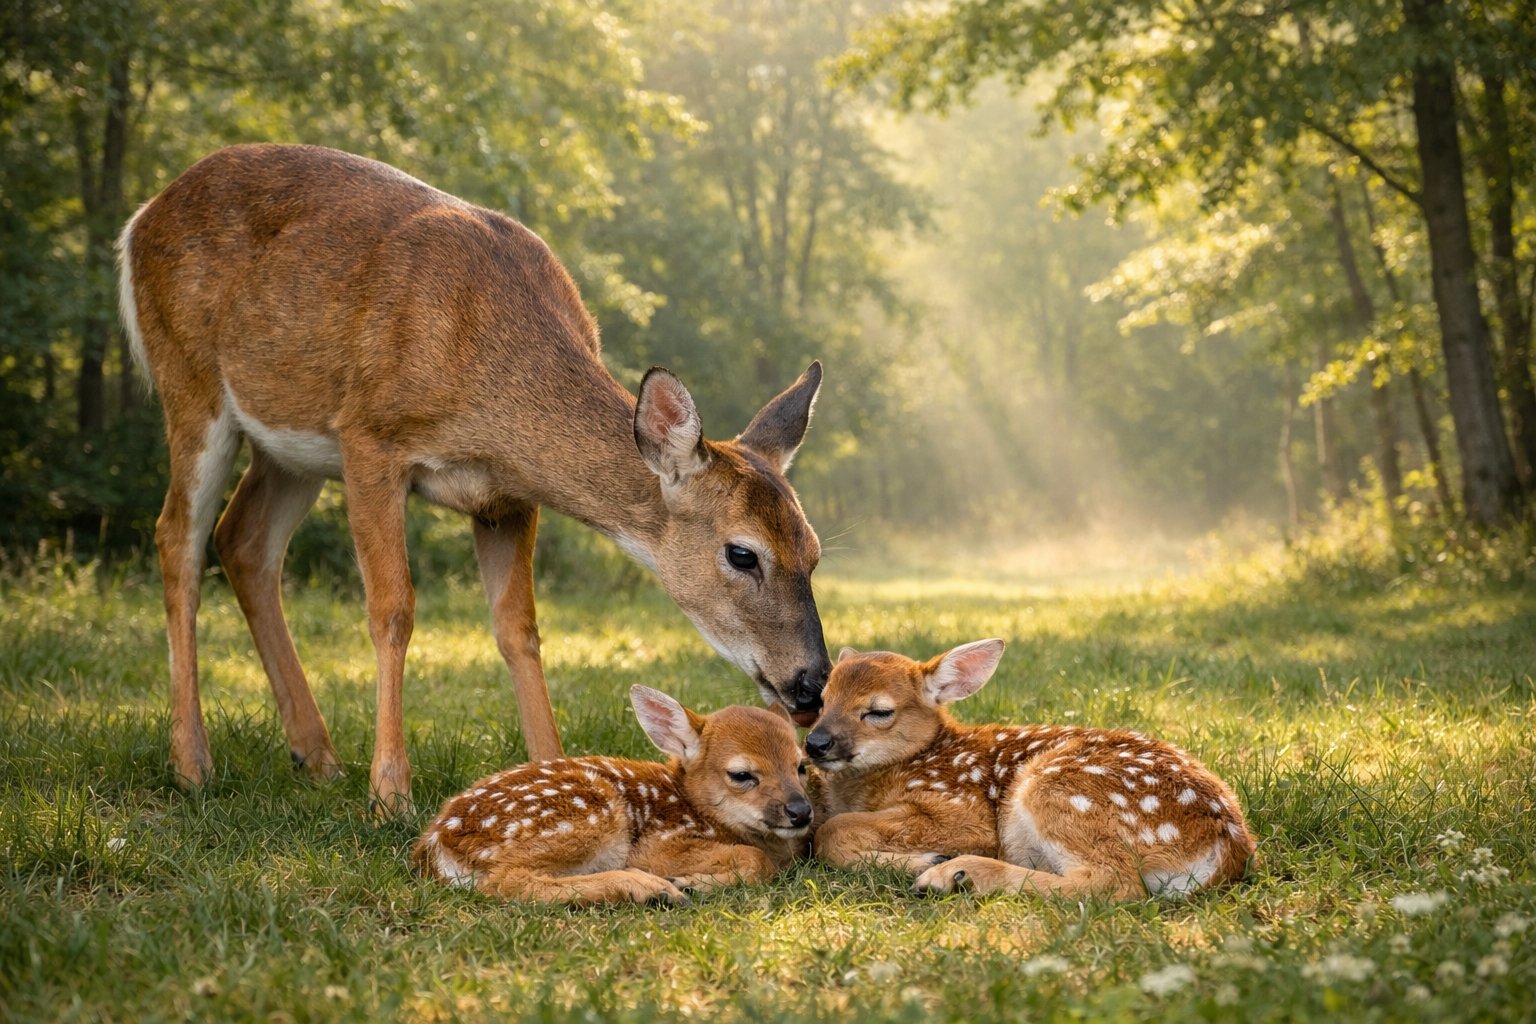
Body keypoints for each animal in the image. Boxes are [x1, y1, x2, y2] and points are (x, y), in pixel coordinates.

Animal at [115, 143, 832, 816]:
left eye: (814, 552)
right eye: (742, 553)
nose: (811, 681)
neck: (489, 396)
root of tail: (139, 219)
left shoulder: (506, 496)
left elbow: (519, 629)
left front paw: (553, 773)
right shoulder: (369, 438)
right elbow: (393, 609)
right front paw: (390, 795)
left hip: (288, 444)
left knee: (244, 541)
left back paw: (316, 756)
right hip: (191, 380)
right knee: (177, 536)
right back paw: (193, 764)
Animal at [413, 685, 812, 904]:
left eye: (801, 765)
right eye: (741, 774)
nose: (801, 811)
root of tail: (436, 844)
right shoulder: (658, 843)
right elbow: (755, 859)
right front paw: (688, 882)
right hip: (592, 814)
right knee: (503, 882)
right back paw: (652, 889)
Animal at [805, 641, 1256, 900]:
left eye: (879, 711)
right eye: (823, 699)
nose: (815, 743)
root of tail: (1229, 846)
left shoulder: (962, 810)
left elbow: (831, 830)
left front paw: (925, 859)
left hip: (1059, 788)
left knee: (1115, 884)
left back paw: (952, 875)